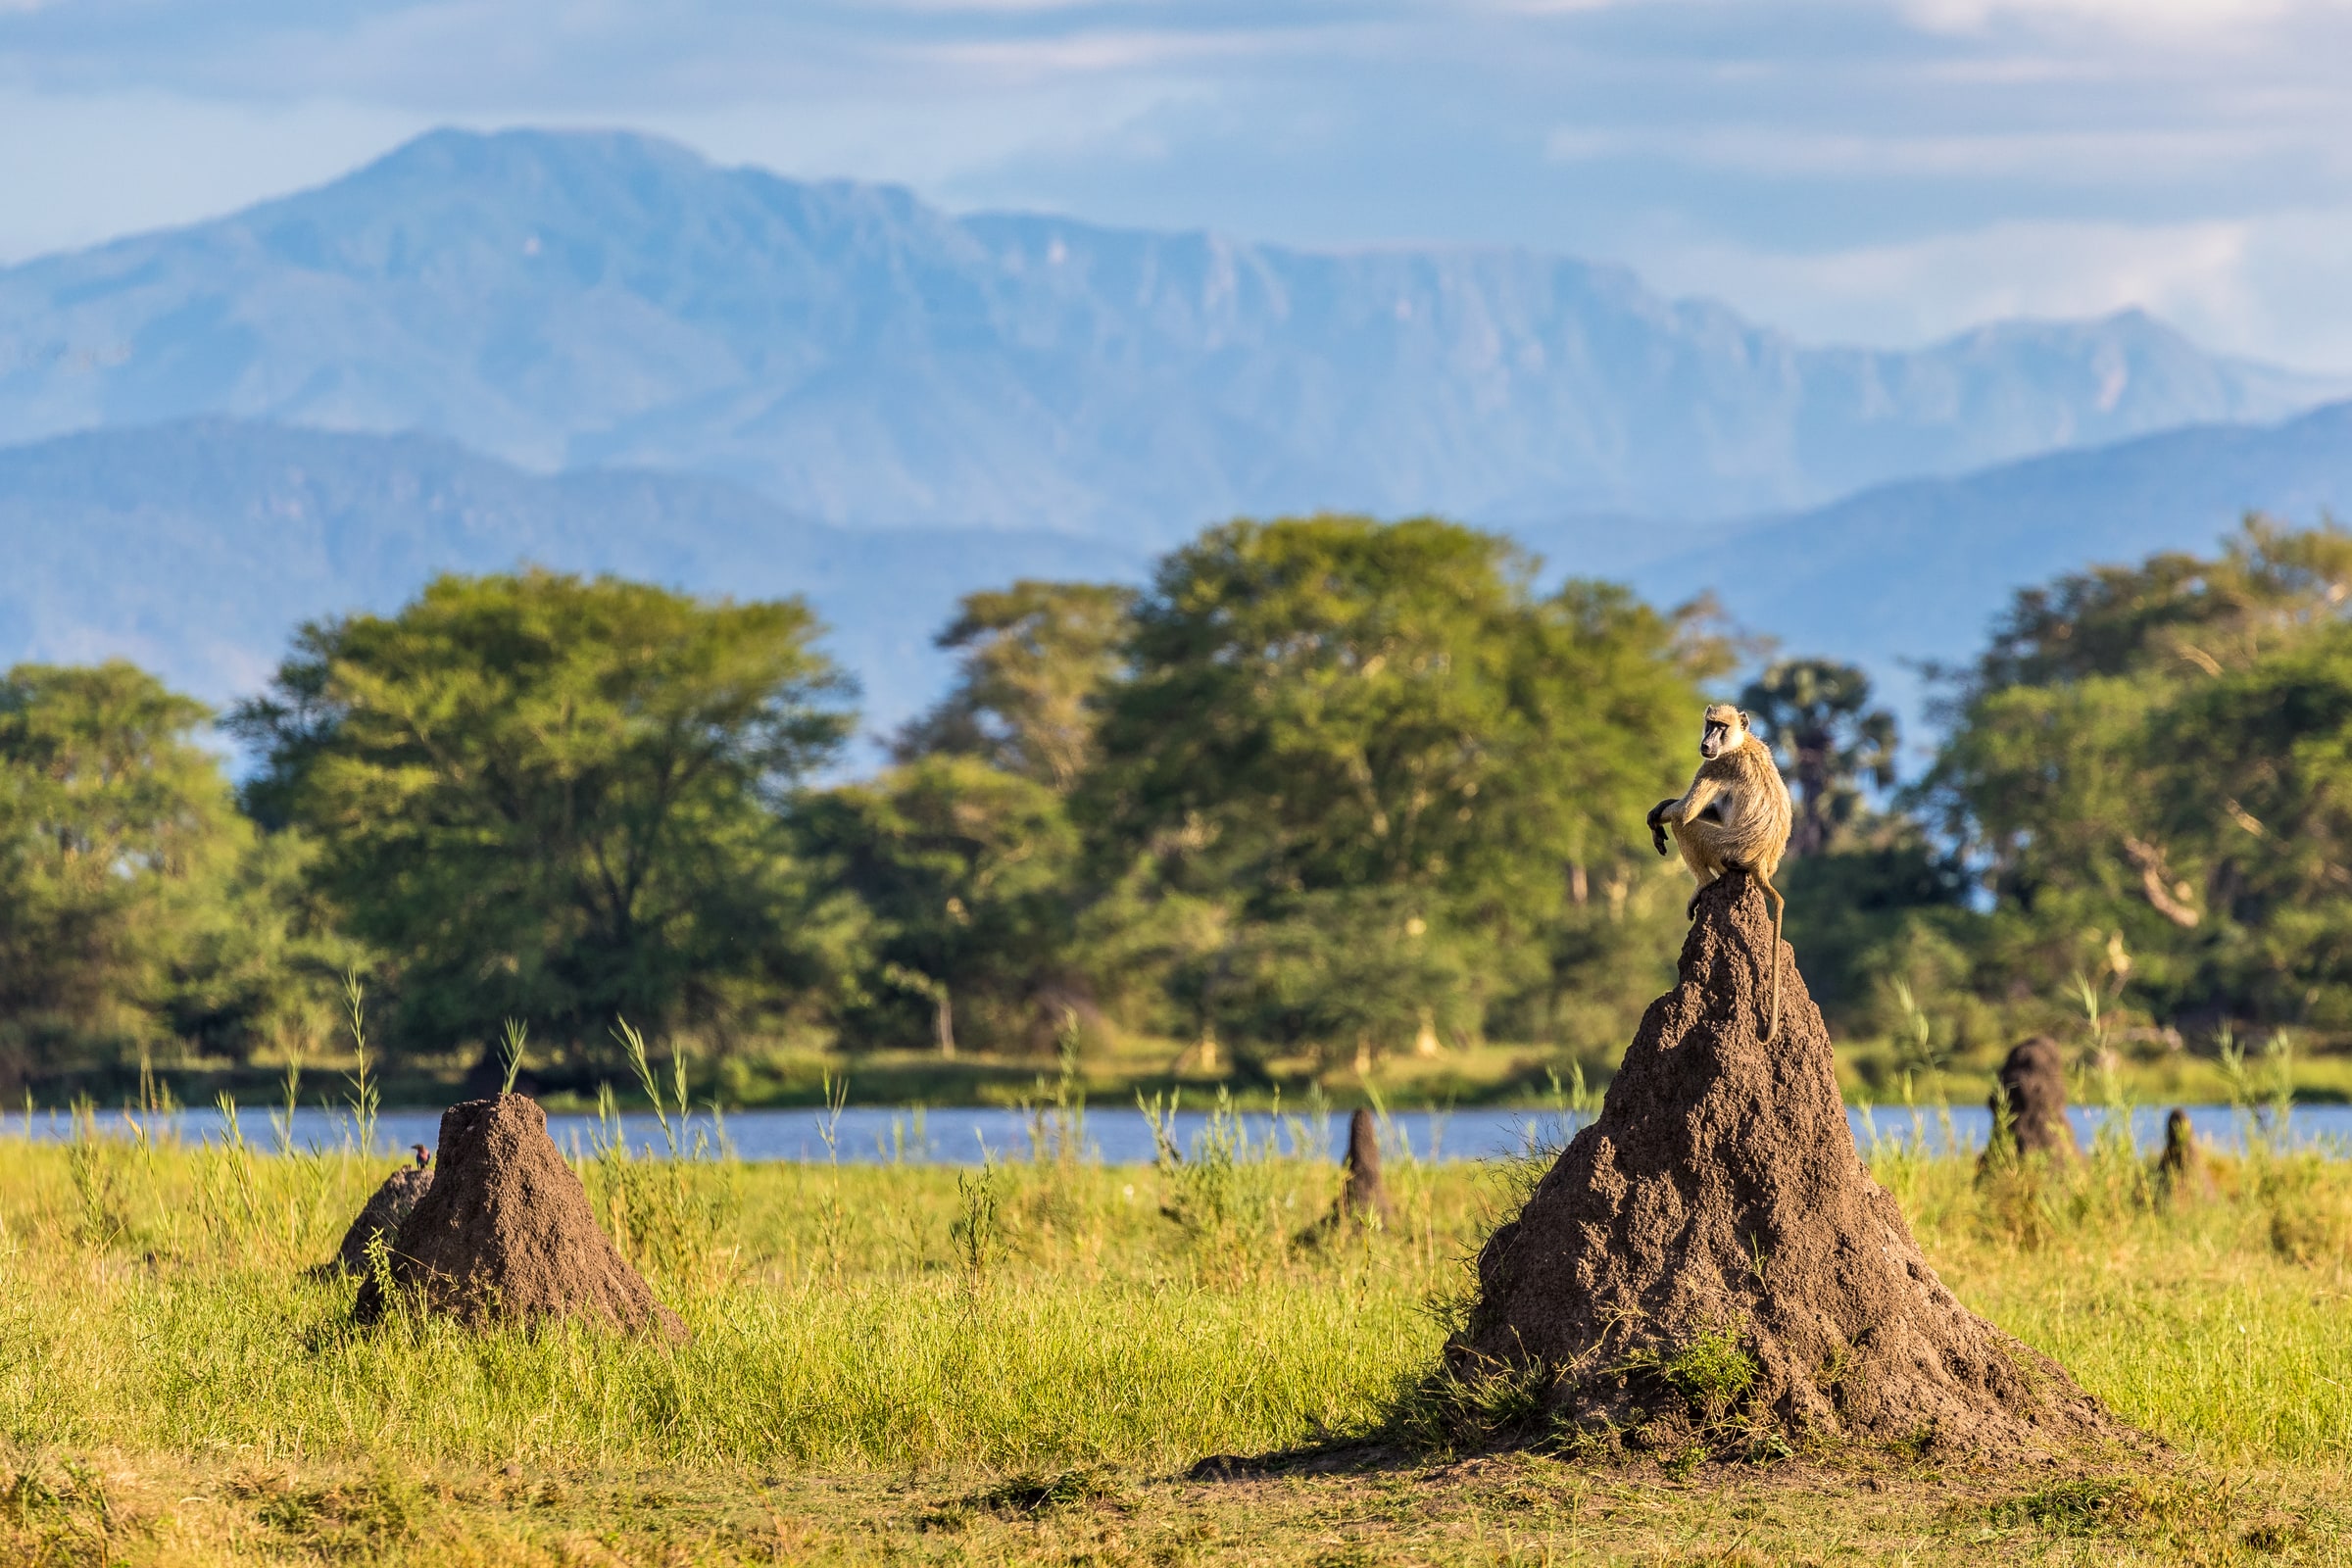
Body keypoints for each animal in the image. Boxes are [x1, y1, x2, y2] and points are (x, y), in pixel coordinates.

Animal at [1644, 704, 1795, 1042]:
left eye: (1721, 728)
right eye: (1710, 724)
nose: (1707, 742)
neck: (1741, 741)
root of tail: (1761, 864)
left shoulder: (1717, 765)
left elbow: (1686, 812)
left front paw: (1659, 815)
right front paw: (1661, 806)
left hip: (1725, 852)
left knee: (1685, 826)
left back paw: (1705, 884)